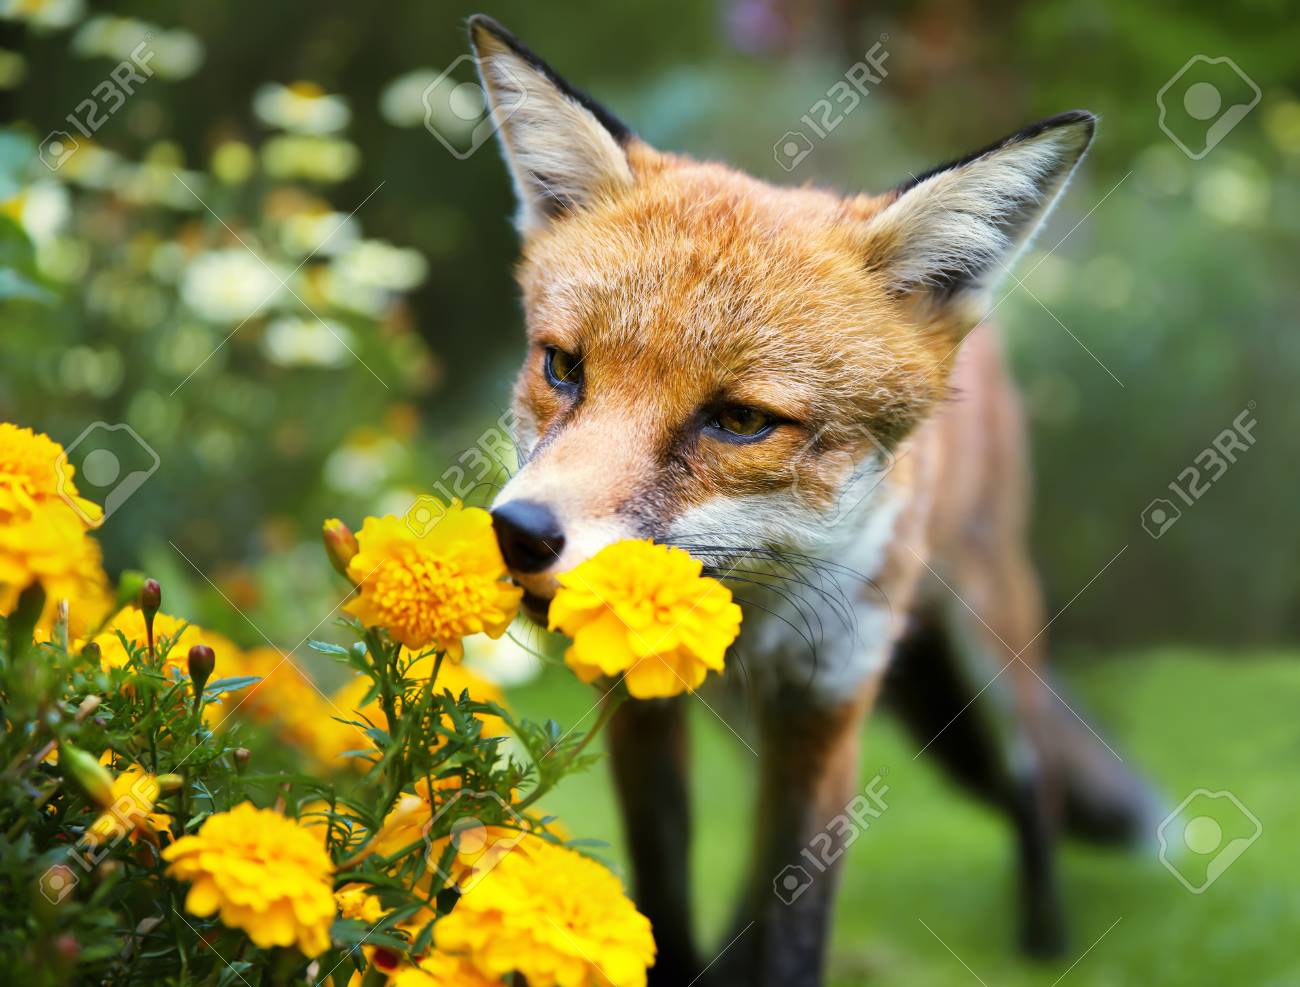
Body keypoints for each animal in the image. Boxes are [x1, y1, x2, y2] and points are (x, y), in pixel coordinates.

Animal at [465, 14, 1156, 987]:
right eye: (564, 367)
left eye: (741, 420)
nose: (519, 534)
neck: (752, 624)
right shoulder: (642, 706)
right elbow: (667, 894)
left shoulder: (830, 703)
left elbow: (796, 921)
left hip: (992, 632)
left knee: (1037, 779)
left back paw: (1044, 935)